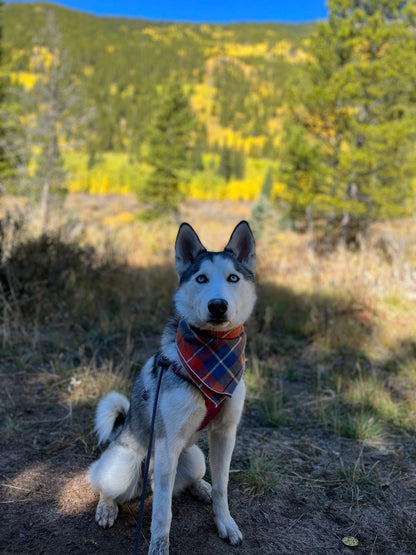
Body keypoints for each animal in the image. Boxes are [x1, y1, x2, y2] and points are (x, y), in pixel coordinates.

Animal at [89, 222, 255, 555]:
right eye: (201, 278)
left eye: (233, 278)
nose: (218, 306)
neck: (214, 351)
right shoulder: (168, 444)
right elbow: (162, 513)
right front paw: (158, 546)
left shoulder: (224, 434)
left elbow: (223, 486)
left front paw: (225, 522)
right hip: (125, 465)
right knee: (102, 481)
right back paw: (107, 507)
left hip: (194, 457)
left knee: (191, 480)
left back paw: (201, 488)